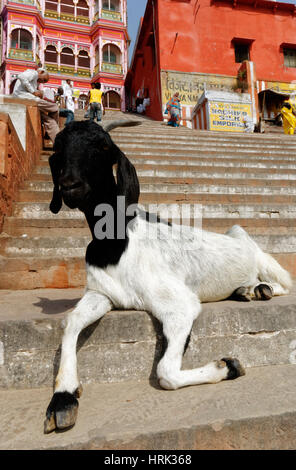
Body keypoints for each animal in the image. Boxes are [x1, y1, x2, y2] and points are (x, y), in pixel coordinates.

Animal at [43, 120, 292, 434]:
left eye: (102, 146)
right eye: (58, 148)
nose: (70, 185)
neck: (116, 242)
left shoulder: (179, 305)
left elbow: (166, 373)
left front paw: (226, 367)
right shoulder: (102, 294)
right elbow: (71, 322)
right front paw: (62, 399)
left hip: (262, 256)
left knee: (284, 283)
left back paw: (260, 289)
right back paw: (245, 290)